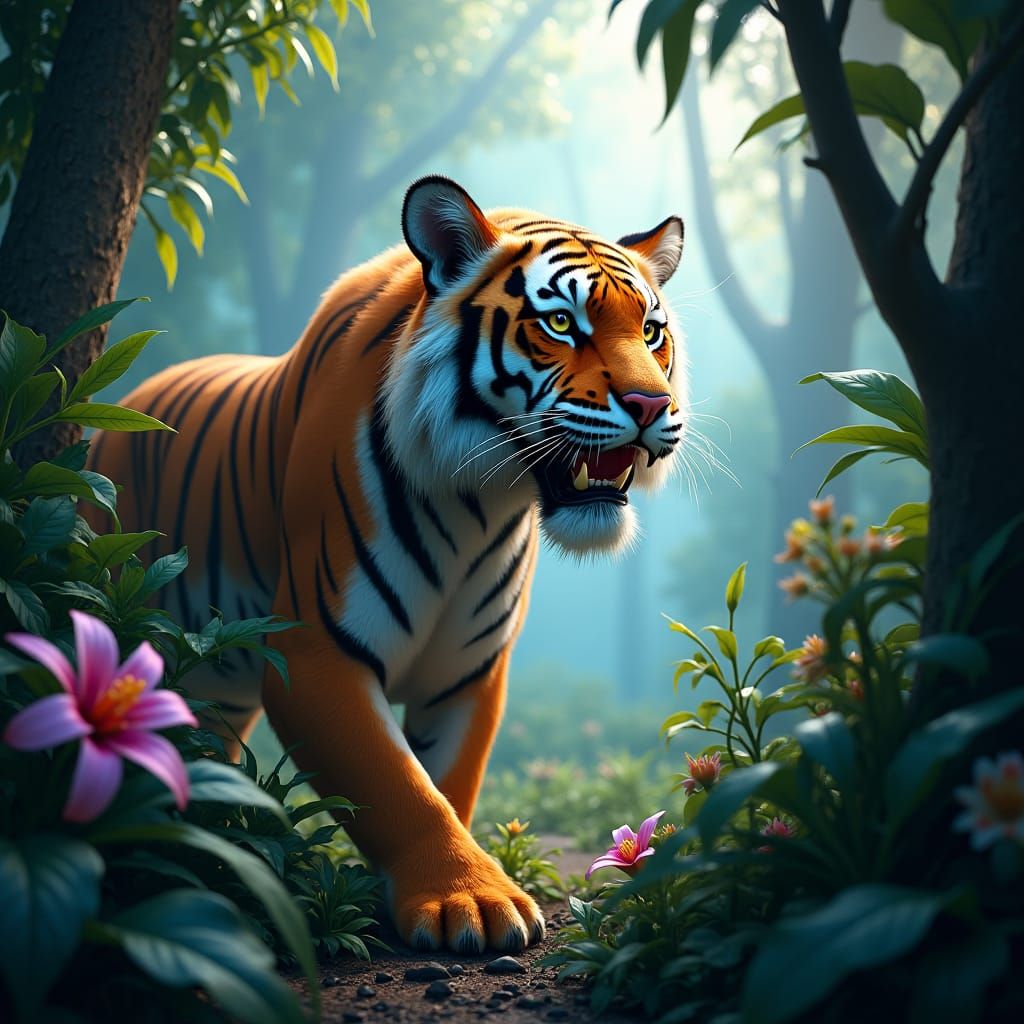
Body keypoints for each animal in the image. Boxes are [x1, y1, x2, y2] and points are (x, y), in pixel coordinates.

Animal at [88, 176, 687, 954]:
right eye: (561, 323)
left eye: (651, 331)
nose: (652, 404)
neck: (480, 507)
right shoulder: (314, 656)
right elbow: (397, 784)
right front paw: (471, 901)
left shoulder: (470, 674)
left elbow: (444, 783)